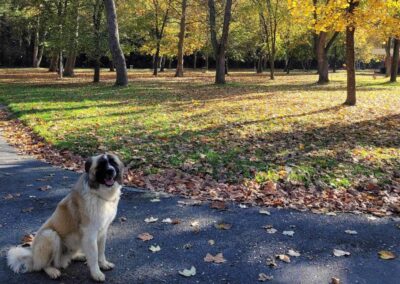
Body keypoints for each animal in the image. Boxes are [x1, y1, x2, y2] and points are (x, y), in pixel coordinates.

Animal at [7, 153, 124, 282]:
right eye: (101, 164)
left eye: (113, 163)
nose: (110, 171)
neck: (99, 194)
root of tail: (32, 257)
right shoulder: (90, 234)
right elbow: (94, 256)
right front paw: (96, 273)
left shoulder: (103, 231)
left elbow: (101, 251)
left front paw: (103, 264)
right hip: (49, 235)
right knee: (43, 266)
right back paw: (52, 271)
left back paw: (78, 256)